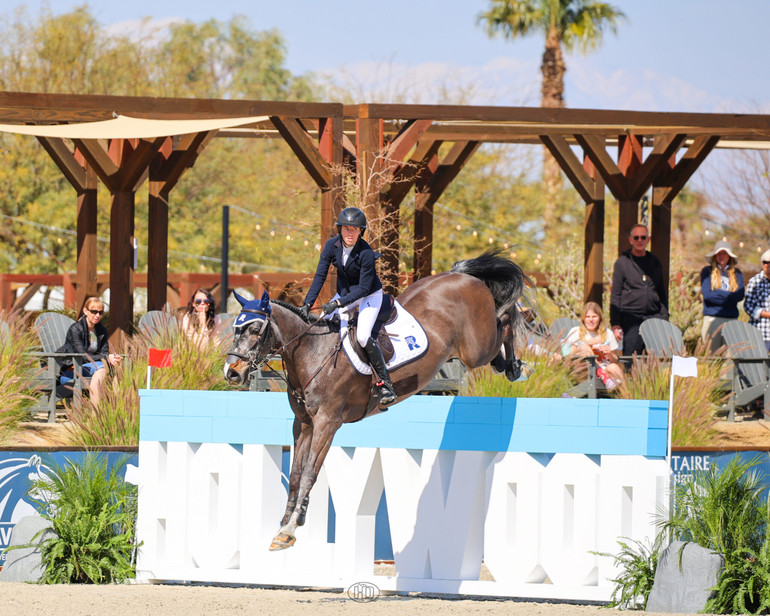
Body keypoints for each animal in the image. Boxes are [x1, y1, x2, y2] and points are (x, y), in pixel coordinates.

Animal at [222, 249, 520, 548]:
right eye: (236, 328)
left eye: (255, 330)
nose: (231, 372)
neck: (312, 351)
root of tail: (460, 275)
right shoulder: (303, 423)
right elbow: (295, 473)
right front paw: (284, 525)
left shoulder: (327, 423)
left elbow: (309, 473)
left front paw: (291, 528)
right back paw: (505, 363)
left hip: (475, 349)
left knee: (505, 321)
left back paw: (514, 364)